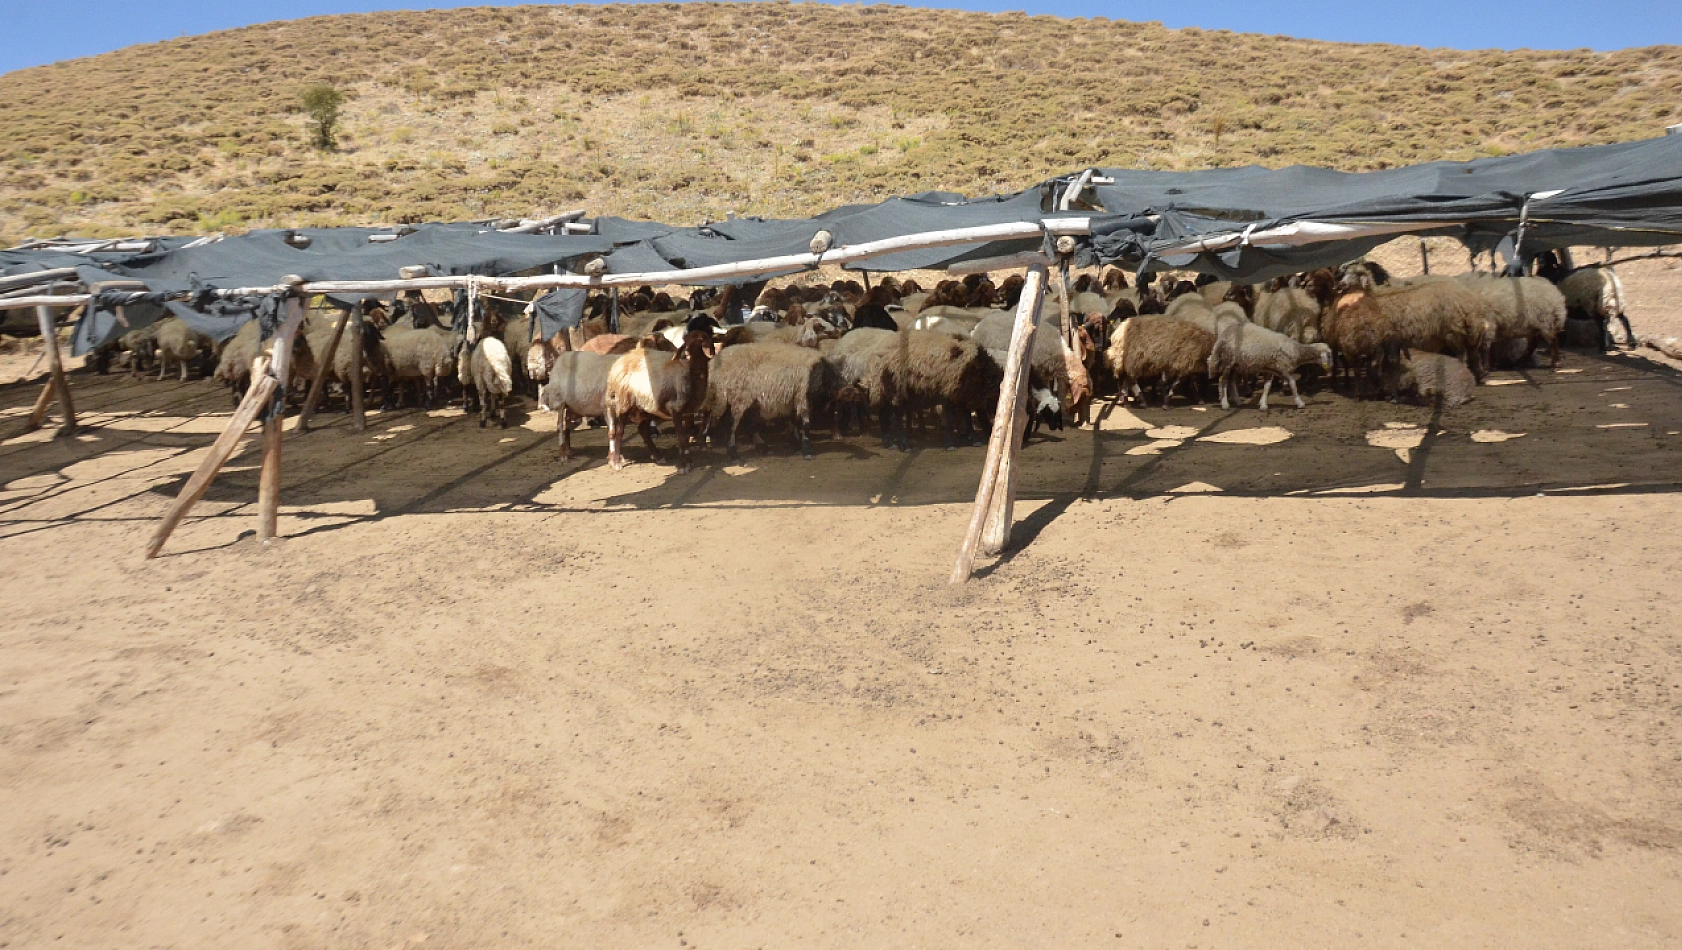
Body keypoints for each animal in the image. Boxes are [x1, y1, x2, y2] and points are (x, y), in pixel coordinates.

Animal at [605, 329, 709, 470]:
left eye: (700, 340)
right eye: (686, 341)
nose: (683, 353)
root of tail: (619, 363)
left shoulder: (689, 410)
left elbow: (686, 435)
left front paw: (688, 461)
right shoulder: (675, 407)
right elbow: (681, 437)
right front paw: (683, 466)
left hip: (645, 407)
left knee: (642, 430)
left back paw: (658, 456)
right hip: (624, 403)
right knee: (618, 432)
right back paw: (616, 462)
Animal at [706, 341, 847, 460]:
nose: (847, 390)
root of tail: (713, 366)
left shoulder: (792, 399)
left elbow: (794, 423)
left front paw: (797, 445)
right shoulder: (802, 397)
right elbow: (806, 425)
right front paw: (807, 451)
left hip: (744, 401)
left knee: (746, 423)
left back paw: (762, 447)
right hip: (738, 397)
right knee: (732, 423)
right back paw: (733, 453)